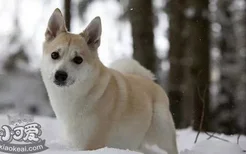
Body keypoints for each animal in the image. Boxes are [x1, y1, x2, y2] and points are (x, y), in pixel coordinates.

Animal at [40, 8, 179, 154]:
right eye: (54, 55)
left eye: (78, 59)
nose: (60, 75)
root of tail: (149, 80)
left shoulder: (92, 144)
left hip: (162, 129)